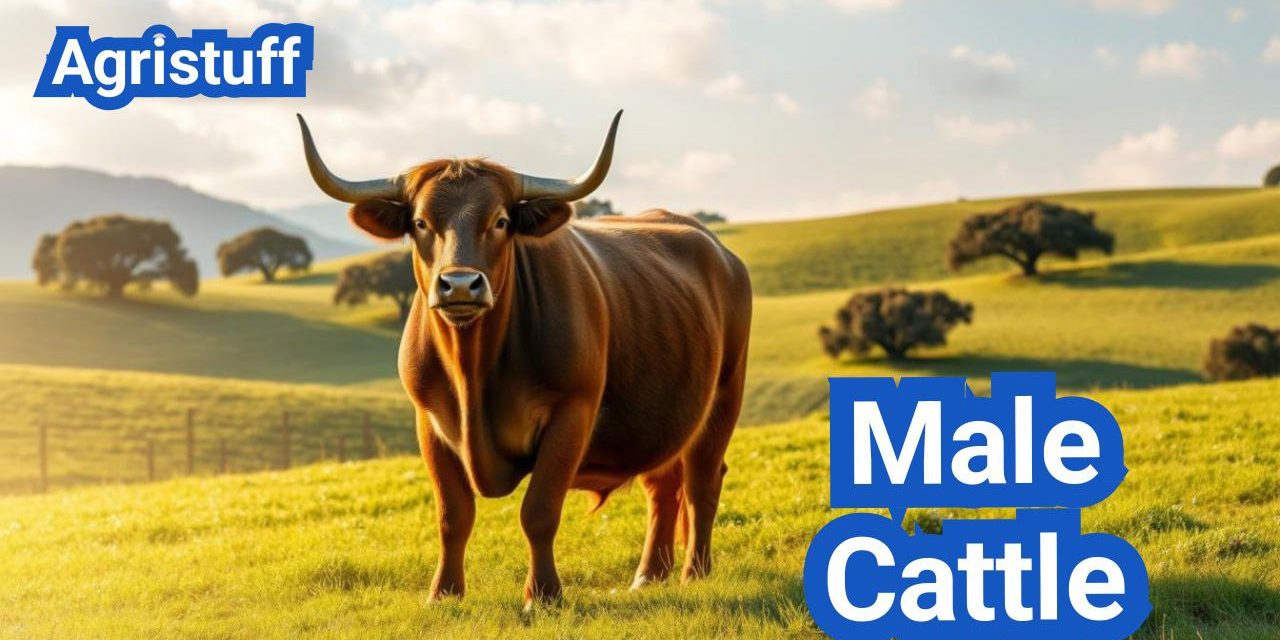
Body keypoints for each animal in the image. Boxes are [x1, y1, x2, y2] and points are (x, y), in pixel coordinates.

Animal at [296, 111, 752, 607]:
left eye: (500, 221)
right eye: (419, 222)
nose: (459, 285)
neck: (474, 372)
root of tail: (714, 246)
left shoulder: (571, 413)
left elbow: (539, 511)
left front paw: (544, 595)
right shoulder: (429, 423)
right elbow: (452, 515)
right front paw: (444, 594)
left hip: (723, 397)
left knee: (702, 480)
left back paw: (694, 572)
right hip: (663, 416)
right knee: (662, 485)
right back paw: (649, 575)